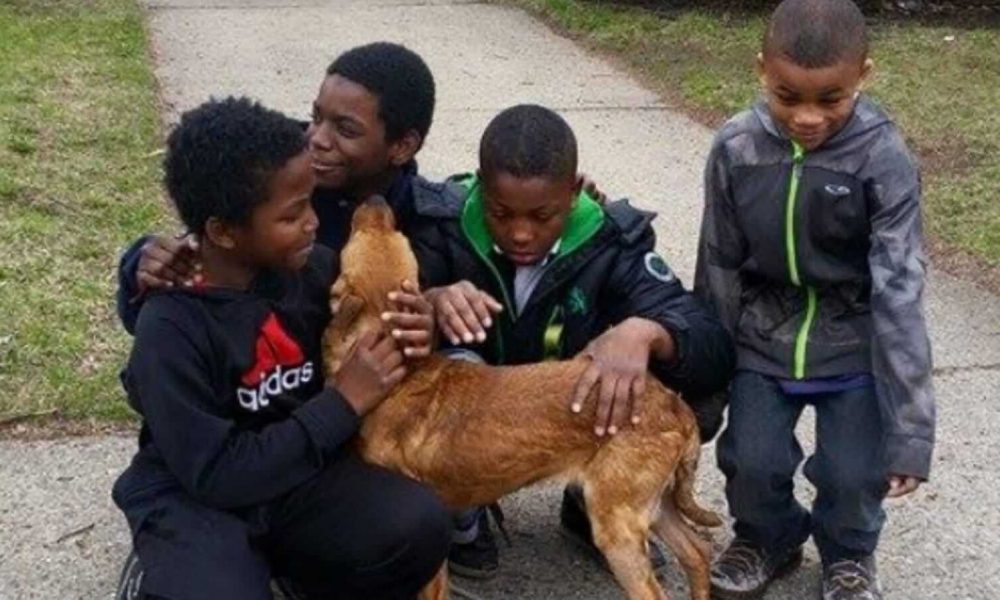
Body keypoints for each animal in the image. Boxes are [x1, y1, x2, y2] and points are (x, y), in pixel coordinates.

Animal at [324, 198, 724, 600]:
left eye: (369, 235)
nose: (375, 200)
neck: (402, 373)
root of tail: (673, 404)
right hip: (654, 507)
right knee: (698, 552)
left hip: (618, 526)